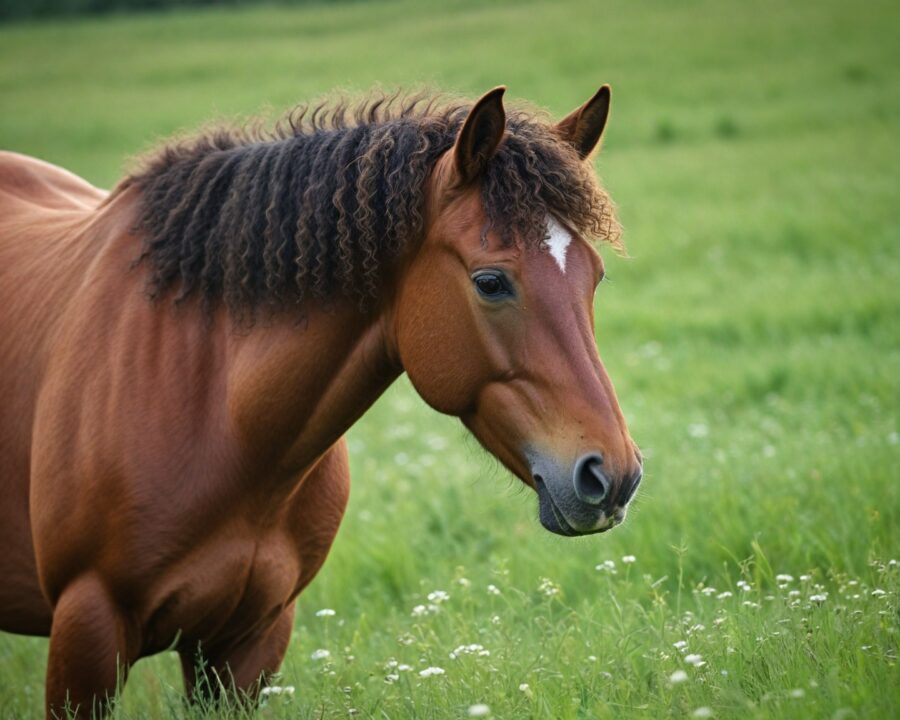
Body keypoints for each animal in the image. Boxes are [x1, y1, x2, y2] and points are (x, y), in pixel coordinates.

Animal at [0, 85, 642, 718]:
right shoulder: (89, 631)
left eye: (595, 276)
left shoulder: (248, 644)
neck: (217, 416)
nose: (613, 476)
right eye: (490, 282)